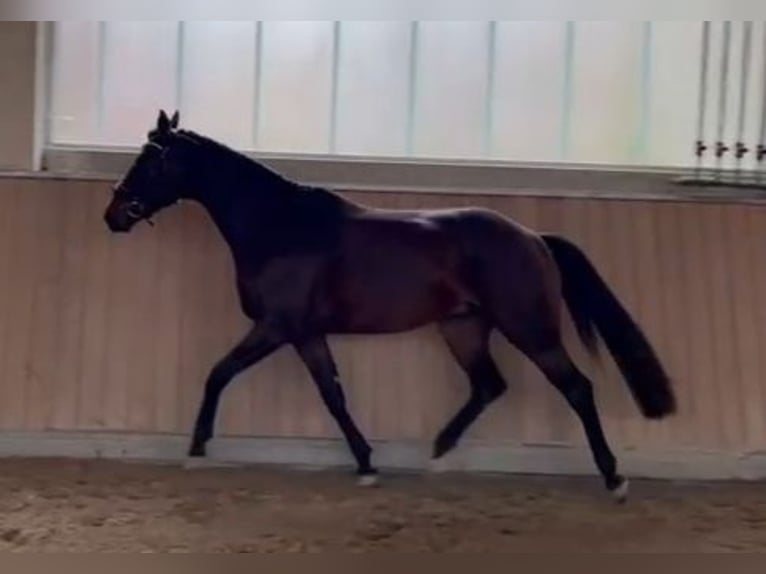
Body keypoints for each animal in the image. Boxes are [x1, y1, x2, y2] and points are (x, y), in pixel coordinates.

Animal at [103, 110, 680, 502]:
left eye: (150, 159)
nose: (114, 214)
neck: (281, 227)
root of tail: (534, 238)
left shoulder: (276, 327)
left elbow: (218, 373)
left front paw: (197, 448)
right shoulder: (307, 334)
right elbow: (333, 395)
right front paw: (366, 463)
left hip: (529, 328)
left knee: (576, 388)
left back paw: (614, 477)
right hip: (463, 328)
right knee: (489, 385)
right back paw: (439, 450)